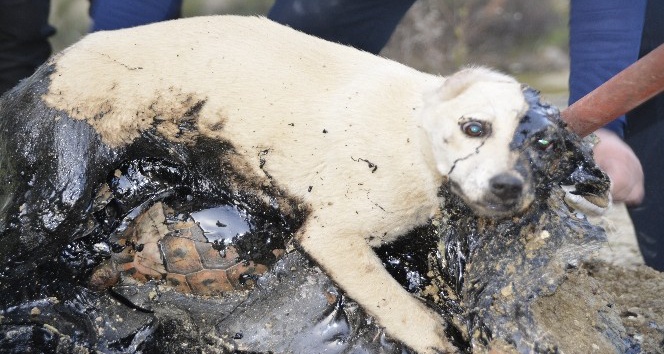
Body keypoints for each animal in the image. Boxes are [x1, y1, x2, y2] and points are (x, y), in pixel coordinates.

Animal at [19, 15, 556, 352]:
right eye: (474, 128)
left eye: (545, 143)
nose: (509, 187)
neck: (415, 129)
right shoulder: (337, 231)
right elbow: (391, 297)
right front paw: (434, 334)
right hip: (63, 177)